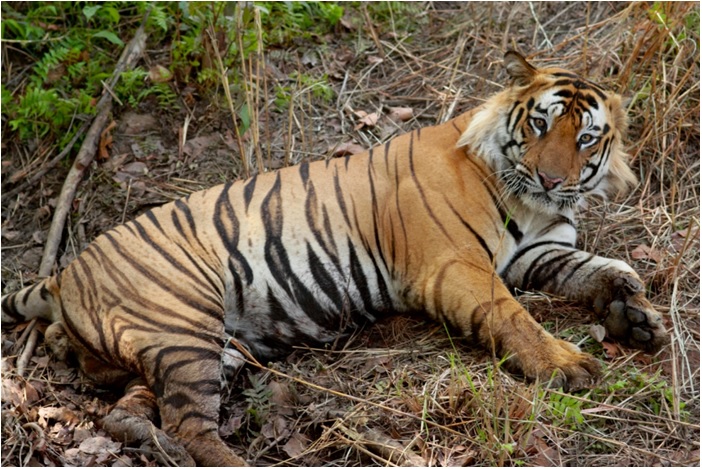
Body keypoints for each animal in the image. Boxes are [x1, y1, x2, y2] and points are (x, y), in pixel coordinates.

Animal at [1, 52, 672, 464]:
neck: (529, 204)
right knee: (190, 427)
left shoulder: (538, 251)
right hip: (182, 322)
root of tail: (63, 272)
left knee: (129, 405)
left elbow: (595, 271)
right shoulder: (458, 267)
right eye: (538, 124)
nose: (553, 179)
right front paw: (569, 364)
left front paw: (635, 316)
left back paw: (131, 422)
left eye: (585, 137)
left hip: (196, 347)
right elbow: (516, 318)